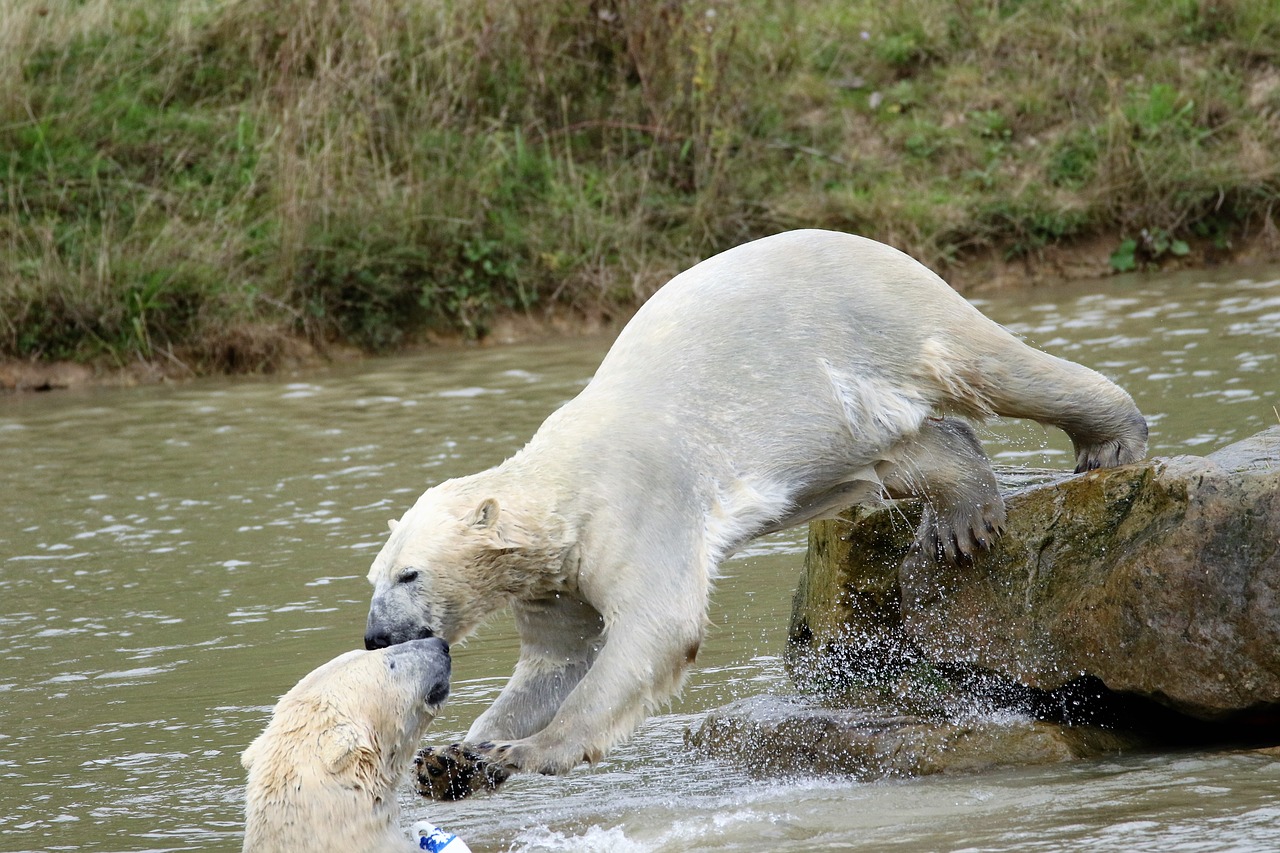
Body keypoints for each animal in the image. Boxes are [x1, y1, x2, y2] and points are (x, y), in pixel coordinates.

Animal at [363, 229, 1152, 778]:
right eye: (376, 576)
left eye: (409, 573)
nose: (375, 637)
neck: (563, 487)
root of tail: (883, 248)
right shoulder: (555, 575)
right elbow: (558, 659)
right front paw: (456, 756)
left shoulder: (636, 508)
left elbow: (653, 630)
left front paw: (527, 752)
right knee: (915, 443)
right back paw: (959, 518)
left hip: (876, 321)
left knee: (994, 366)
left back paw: (1111, 442)